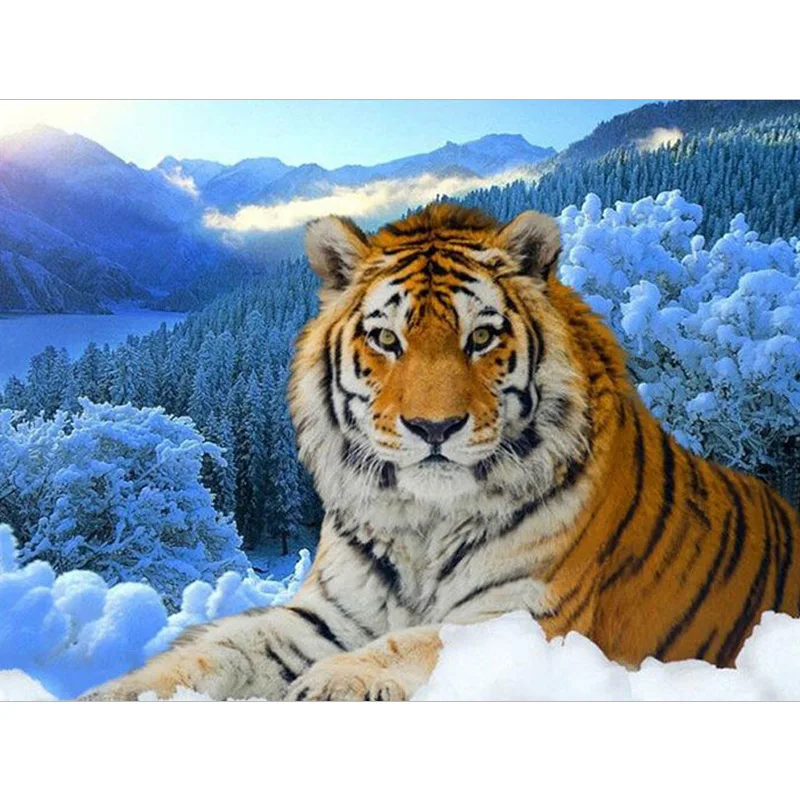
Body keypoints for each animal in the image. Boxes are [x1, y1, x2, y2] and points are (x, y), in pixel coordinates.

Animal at [84, 202, 800, 701]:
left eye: (481, 337)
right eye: (386, 339)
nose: (435, 427)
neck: (422, 524)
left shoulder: (525, 616)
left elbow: (414, 642)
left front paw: (331, 683)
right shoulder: (326, 615)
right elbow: (218, 649)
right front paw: (113, 695)